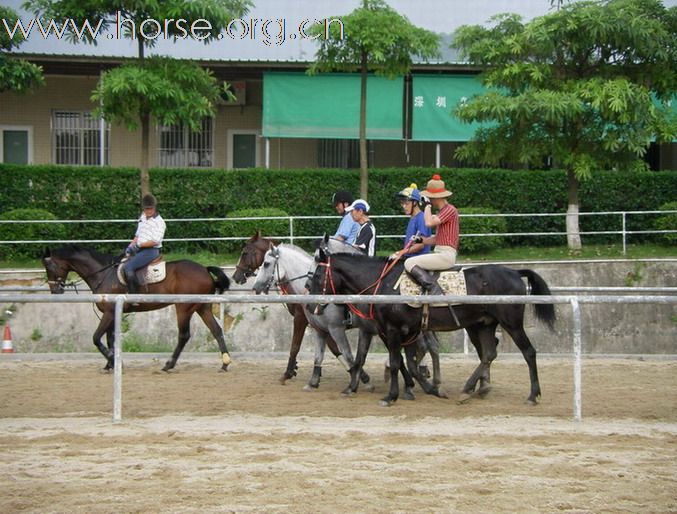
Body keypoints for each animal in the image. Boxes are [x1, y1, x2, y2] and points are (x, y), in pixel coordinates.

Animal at [43, 245, 232, 370]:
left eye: (49, 266)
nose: (55, 290)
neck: (104, 274)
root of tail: (204, 270)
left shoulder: (109, 312)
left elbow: (96, 338)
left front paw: (112, 359)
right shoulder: (112, 313)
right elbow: (110, 339)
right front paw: (111, 363)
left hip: (184, 308)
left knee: (184, 335)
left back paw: (169, 364)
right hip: (202, 307)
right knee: (216, 330)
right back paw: (224, 363)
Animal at [308, 246, 556, 406]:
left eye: (317, 275)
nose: (309, 305)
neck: (383, 283)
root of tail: (514, 271)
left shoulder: (392, 330)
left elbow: (397, 362)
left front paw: (391, 396)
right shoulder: (402, 330)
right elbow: (406, 363)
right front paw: (427, 389)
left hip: (510, 323)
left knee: (528, 352)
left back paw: (532, 395)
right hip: (483, 325)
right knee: (488, 353)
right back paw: (470, 389)